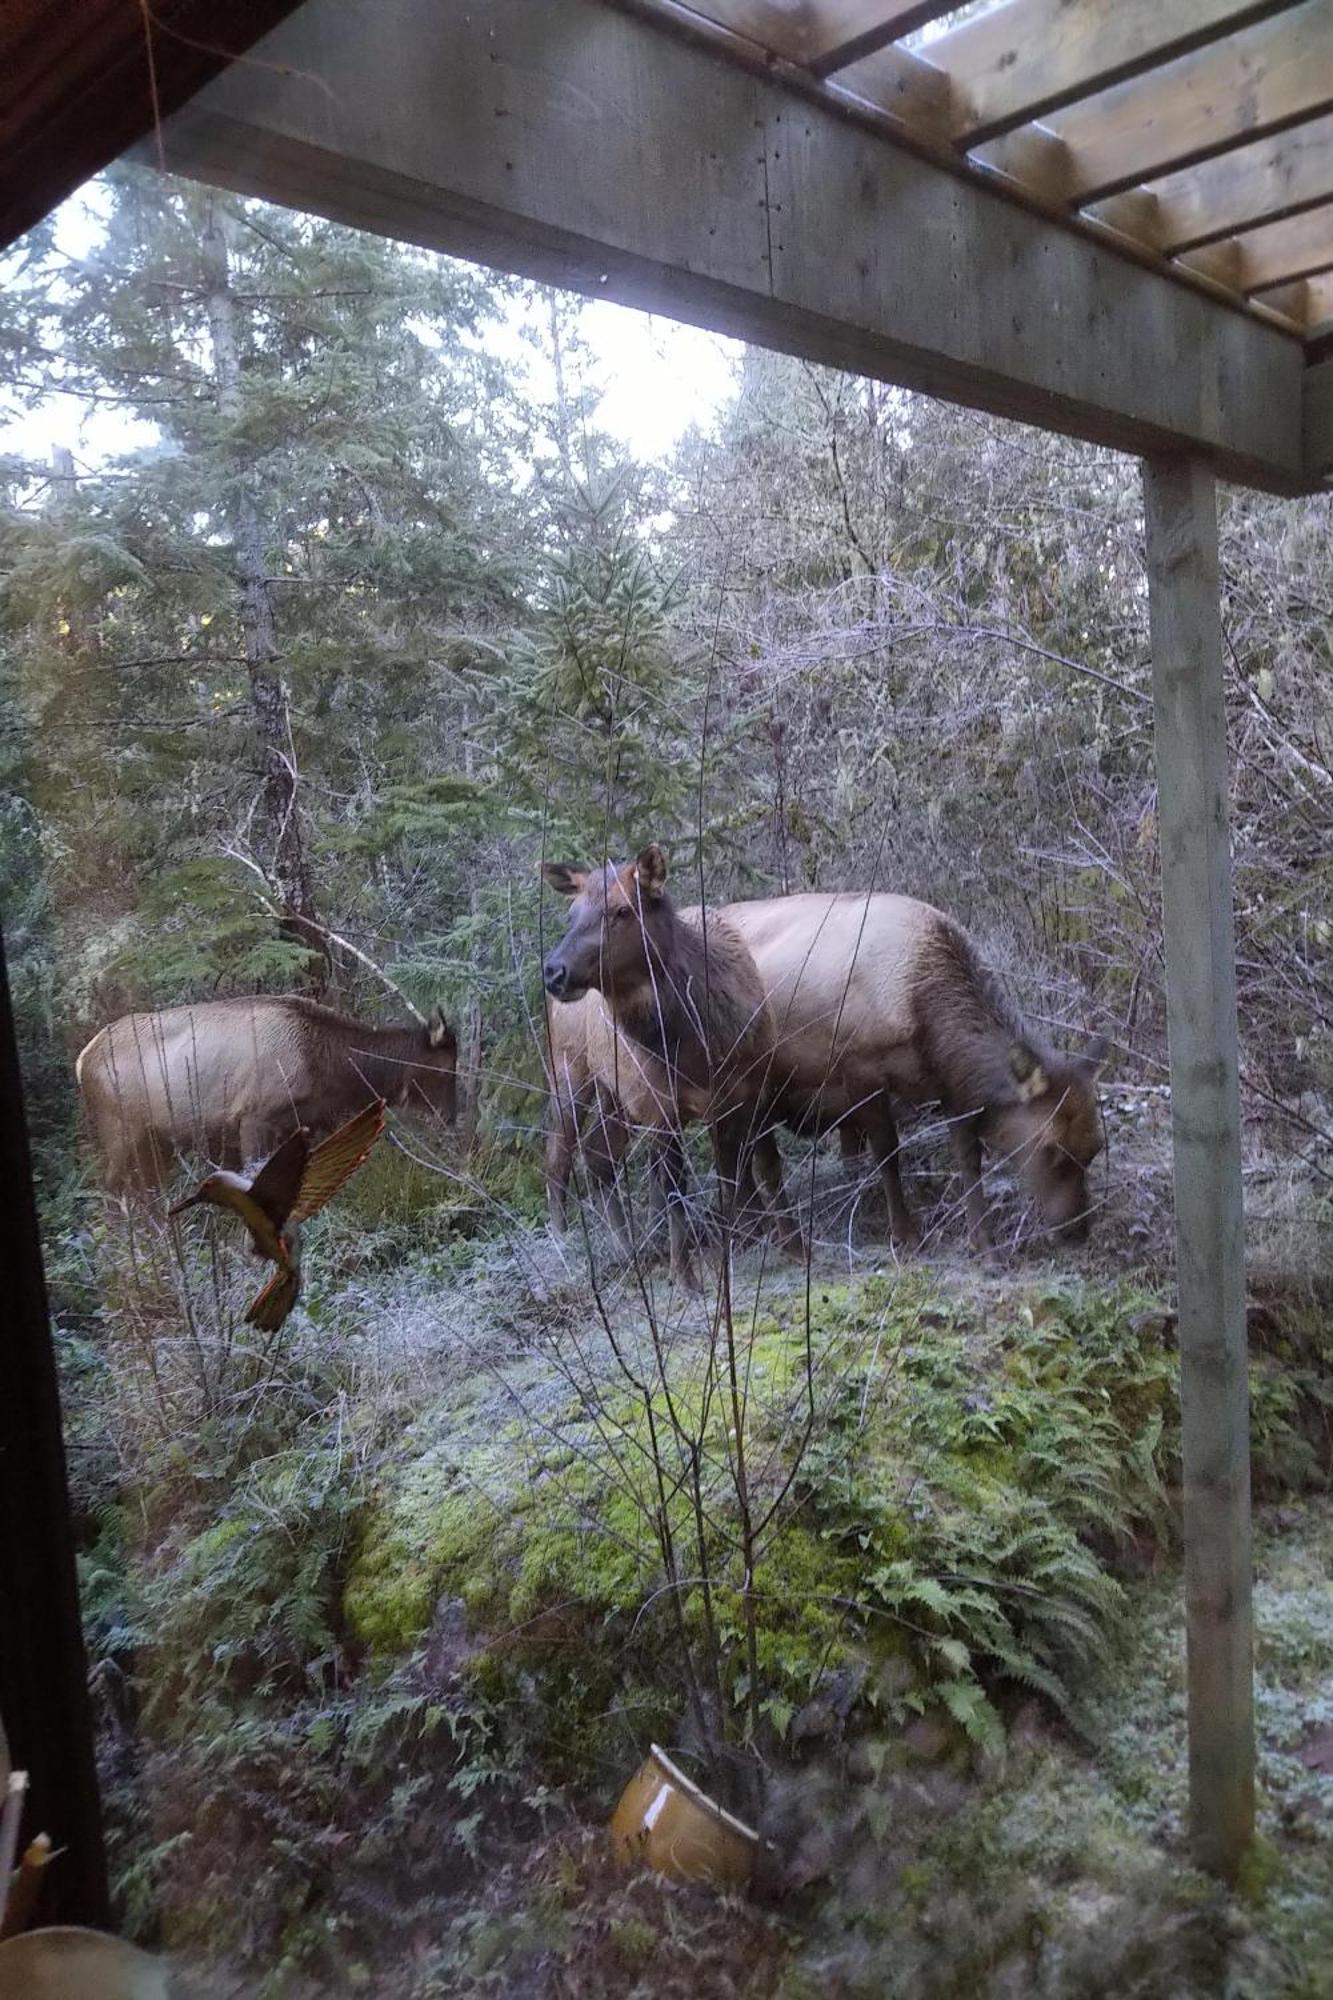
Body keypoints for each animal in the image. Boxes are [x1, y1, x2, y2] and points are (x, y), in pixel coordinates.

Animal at [76, 996, 456, 1192]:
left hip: (152, 1143)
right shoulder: (251, 1116)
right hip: (119, 1129)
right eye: (443, 1068)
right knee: (109, 1188)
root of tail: (81, 1062)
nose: (452, 1118)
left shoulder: (309, 1121)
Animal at [540, 840, 800, 1280]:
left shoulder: (755, 1085)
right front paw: (686, 1277)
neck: (700, 1047)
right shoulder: (660, 1108)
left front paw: (785, 1244)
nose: (554, 971)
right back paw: (564, 1247)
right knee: (559, 1155)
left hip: (616, 1093)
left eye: (622, 910)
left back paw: (629, 1247)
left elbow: (755, 1166)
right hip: (572, 1071)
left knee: (597, 1154)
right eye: (571, 914)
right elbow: (674, 1189)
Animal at [720, 892, 1104, 1248]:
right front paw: (905, 1235)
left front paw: (984, 1244)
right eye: (1050, 1149)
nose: (1077, 1232)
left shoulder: (949, 1082)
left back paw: (752, 1227)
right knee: (736, 1155)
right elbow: (887, 1155)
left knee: (736, 1154)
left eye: (1095, 1148)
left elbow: (968, 1160)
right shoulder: (860, 1071)